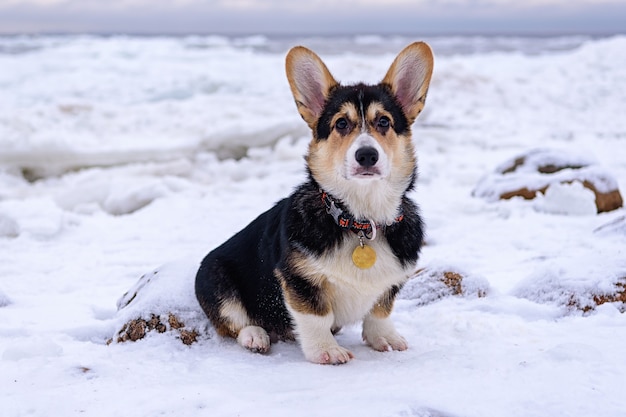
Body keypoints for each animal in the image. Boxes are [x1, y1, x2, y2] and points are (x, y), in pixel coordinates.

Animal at [194, 40, 428, 362]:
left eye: (384, 121)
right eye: (341, 124)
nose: (367, 155)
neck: (360, 218)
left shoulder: (392, 281)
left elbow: (380, 309)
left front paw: (386, 338)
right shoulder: (298, 278)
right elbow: (316, 315)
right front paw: (326, 351)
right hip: (215, 278)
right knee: (233, 321)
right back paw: (256, 336)